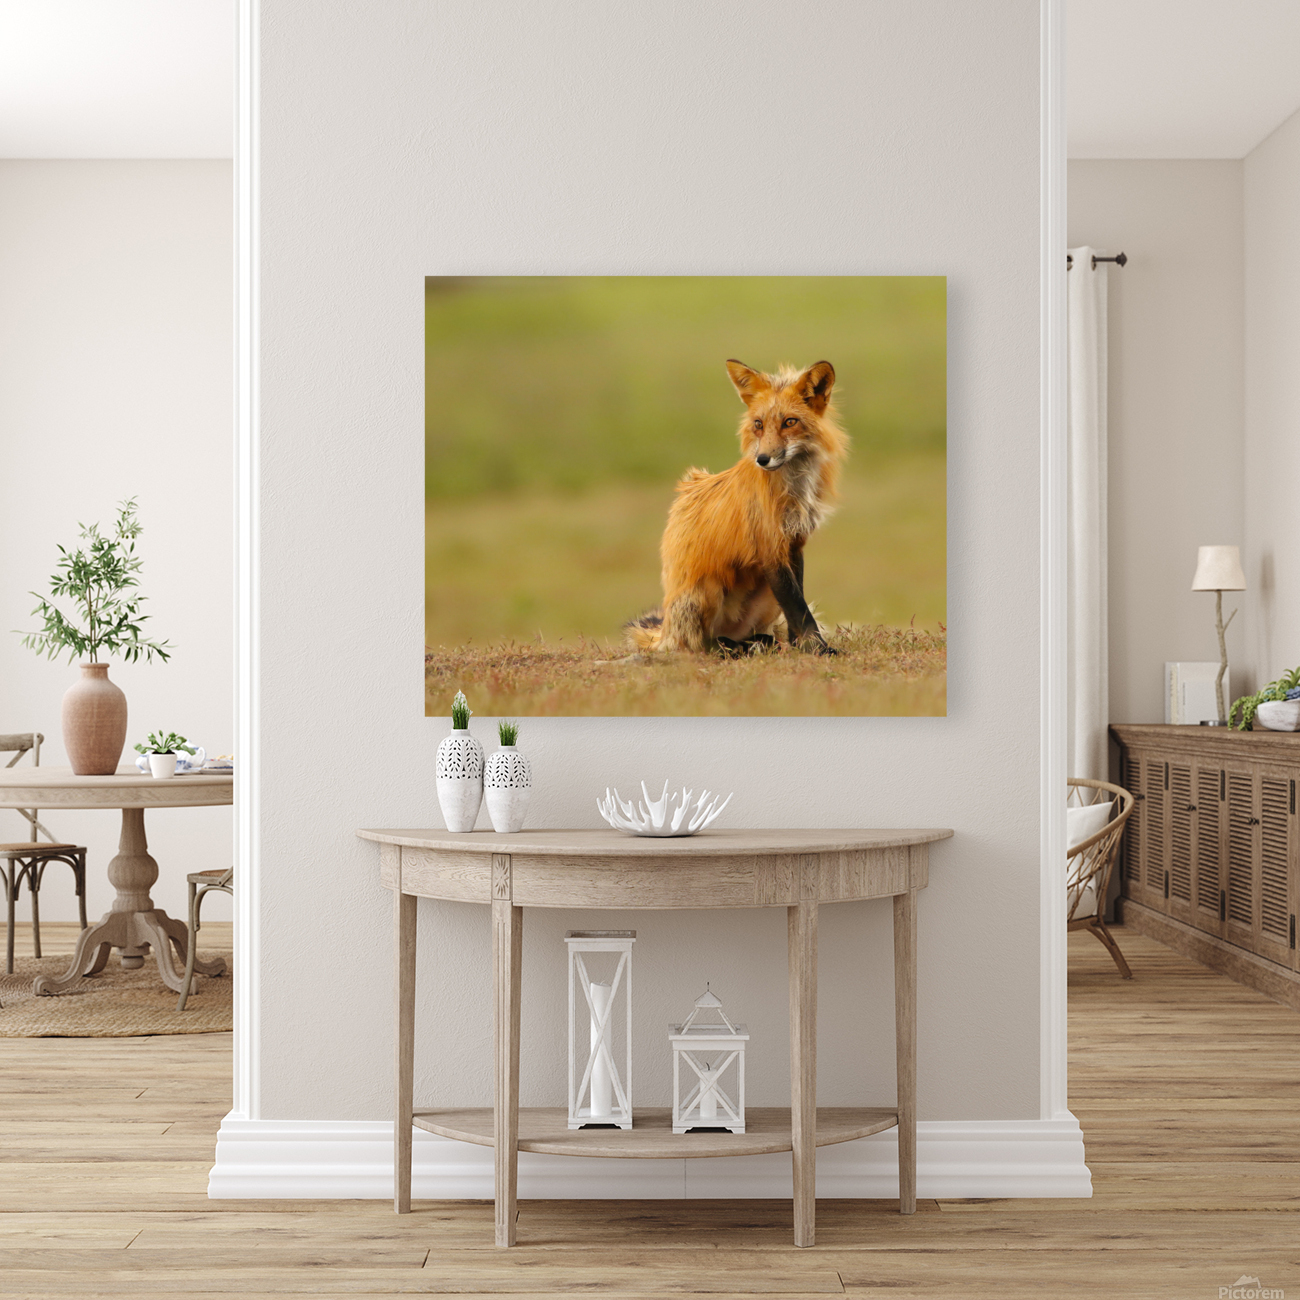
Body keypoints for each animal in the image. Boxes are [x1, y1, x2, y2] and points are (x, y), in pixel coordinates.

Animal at [626, 358, 848, 655]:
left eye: (790, 422)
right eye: (758, 424)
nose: (762, 459)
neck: (794, 490)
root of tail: (666, 632)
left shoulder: (794, 544)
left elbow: (797, 606)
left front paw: (800, 646)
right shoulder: (770, 549)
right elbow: (799, 608)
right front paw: (817, 649)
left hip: (765, 597)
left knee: (749, 634)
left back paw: (760, 643)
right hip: (709, 589)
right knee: (702, 643)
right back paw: (732, 648)